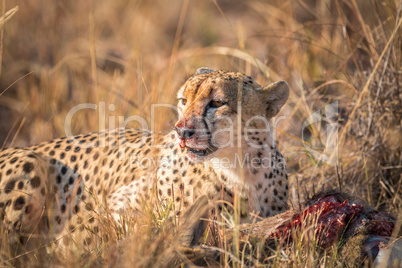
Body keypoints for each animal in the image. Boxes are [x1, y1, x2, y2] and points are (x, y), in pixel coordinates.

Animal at [0, 67, 288, 255]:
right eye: (183, 100)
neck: (241, 168)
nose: (182, 131)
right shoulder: (112, 207)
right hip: (31, 160)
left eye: (217, 102)